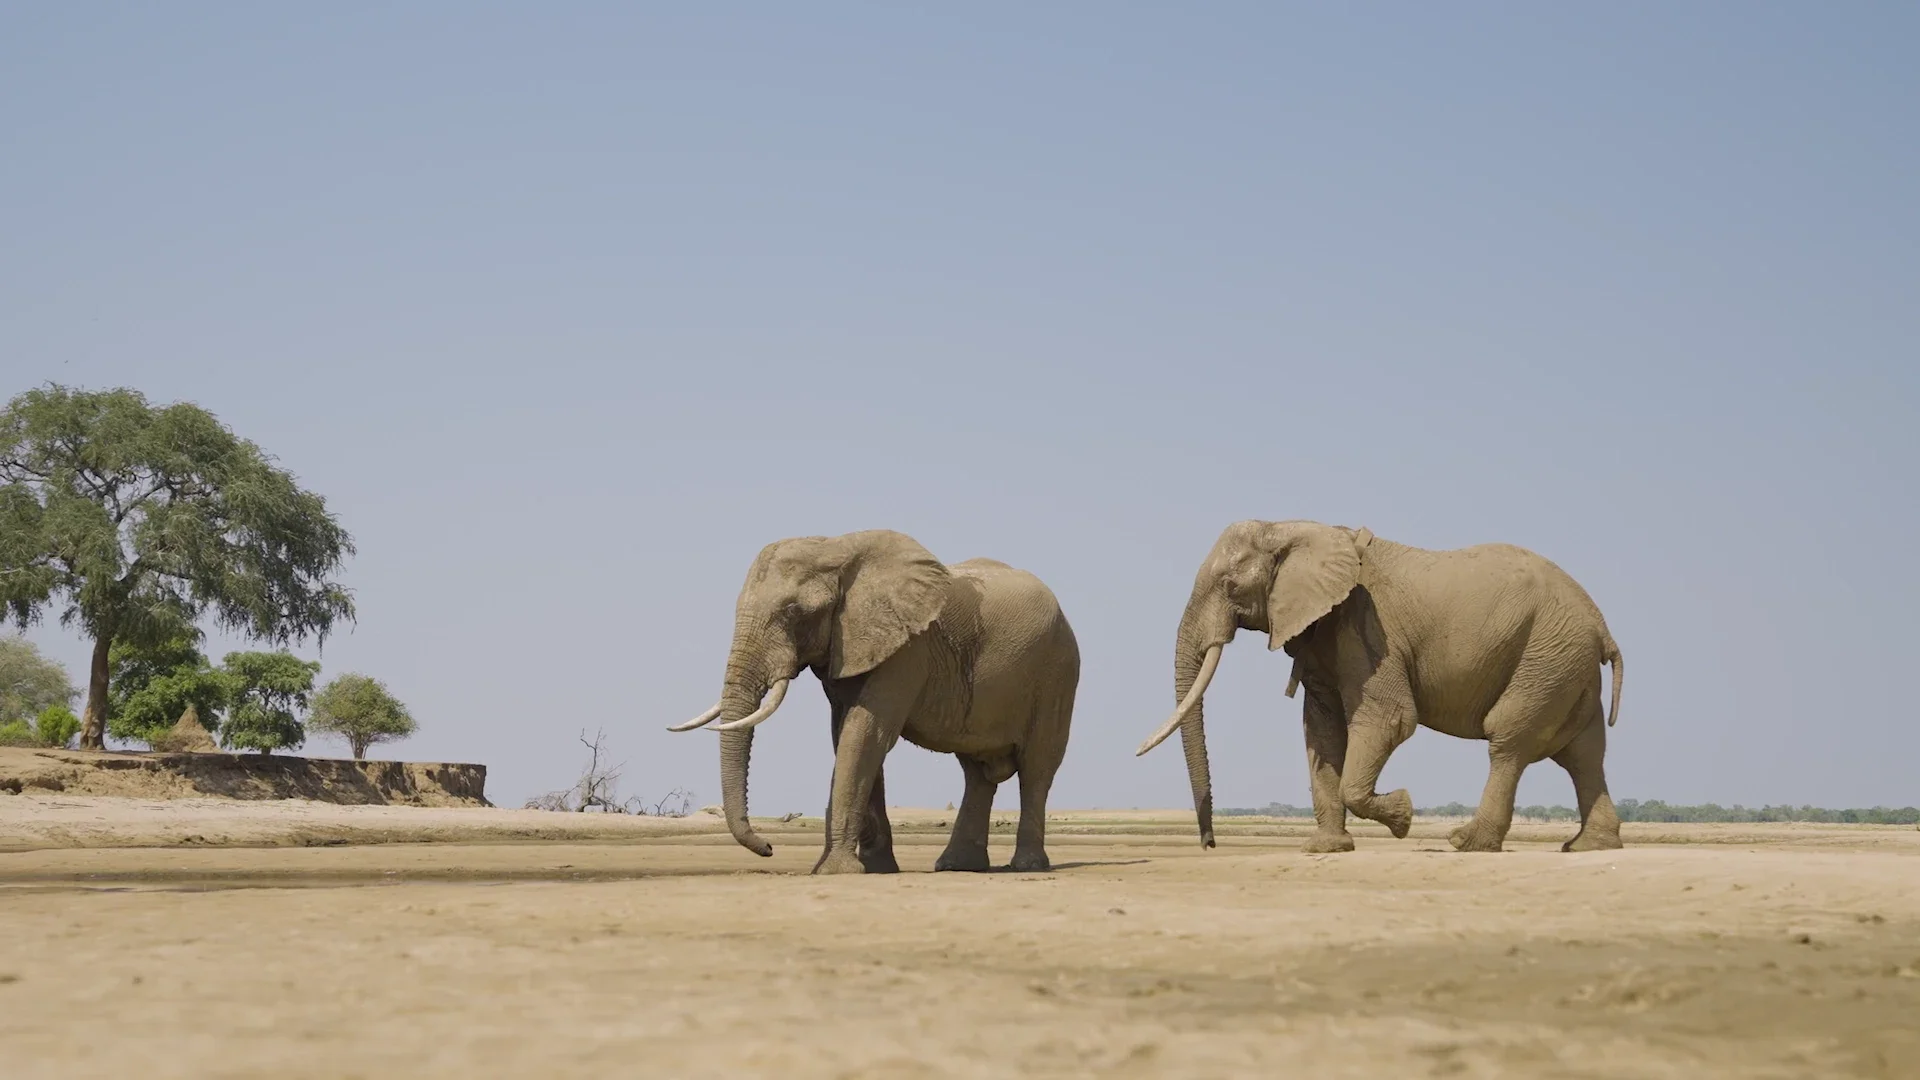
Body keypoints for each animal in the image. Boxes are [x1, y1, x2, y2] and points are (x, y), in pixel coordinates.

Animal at [670, 530, 1080, 875]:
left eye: (794, 612)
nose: (769, 846)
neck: (837, 550)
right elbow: (847, 735)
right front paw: (876, 869)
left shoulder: (909, 650)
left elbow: (866, 733)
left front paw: (835, 871)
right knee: (976, 773)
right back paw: (957, 867)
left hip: (1057, 674)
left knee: (1036, 768)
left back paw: (1027, 866)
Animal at [1137, 520, 1624, 854]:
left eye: (1229, 585)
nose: (1209, 845)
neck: (1293, 527)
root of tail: (1603, 629)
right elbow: (1322, 732)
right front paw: (1327, 849)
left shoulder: (1367, 627)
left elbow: (1390, 719)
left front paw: (1404, 815)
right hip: (1567, 663)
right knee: (1584, 754)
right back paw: (1588, 847)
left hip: (1547, 655)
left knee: (1509, 740)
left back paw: (1466, 842)